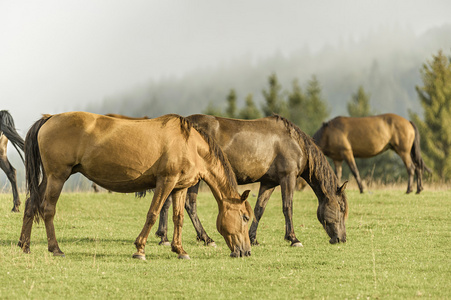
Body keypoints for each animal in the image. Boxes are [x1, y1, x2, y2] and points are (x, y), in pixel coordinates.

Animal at [18, 111, 254, 258]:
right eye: (244, 217)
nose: (246, 251)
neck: (191, 144)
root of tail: (49, 118)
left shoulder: (180, 187)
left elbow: (178, 218)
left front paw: (180, 250)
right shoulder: (166, 181)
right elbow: (153, 214)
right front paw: (140, 249)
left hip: (49, 177)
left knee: (31, 203)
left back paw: (25, 245)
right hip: (58, 176)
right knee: (48, 209)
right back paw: (55, 248)